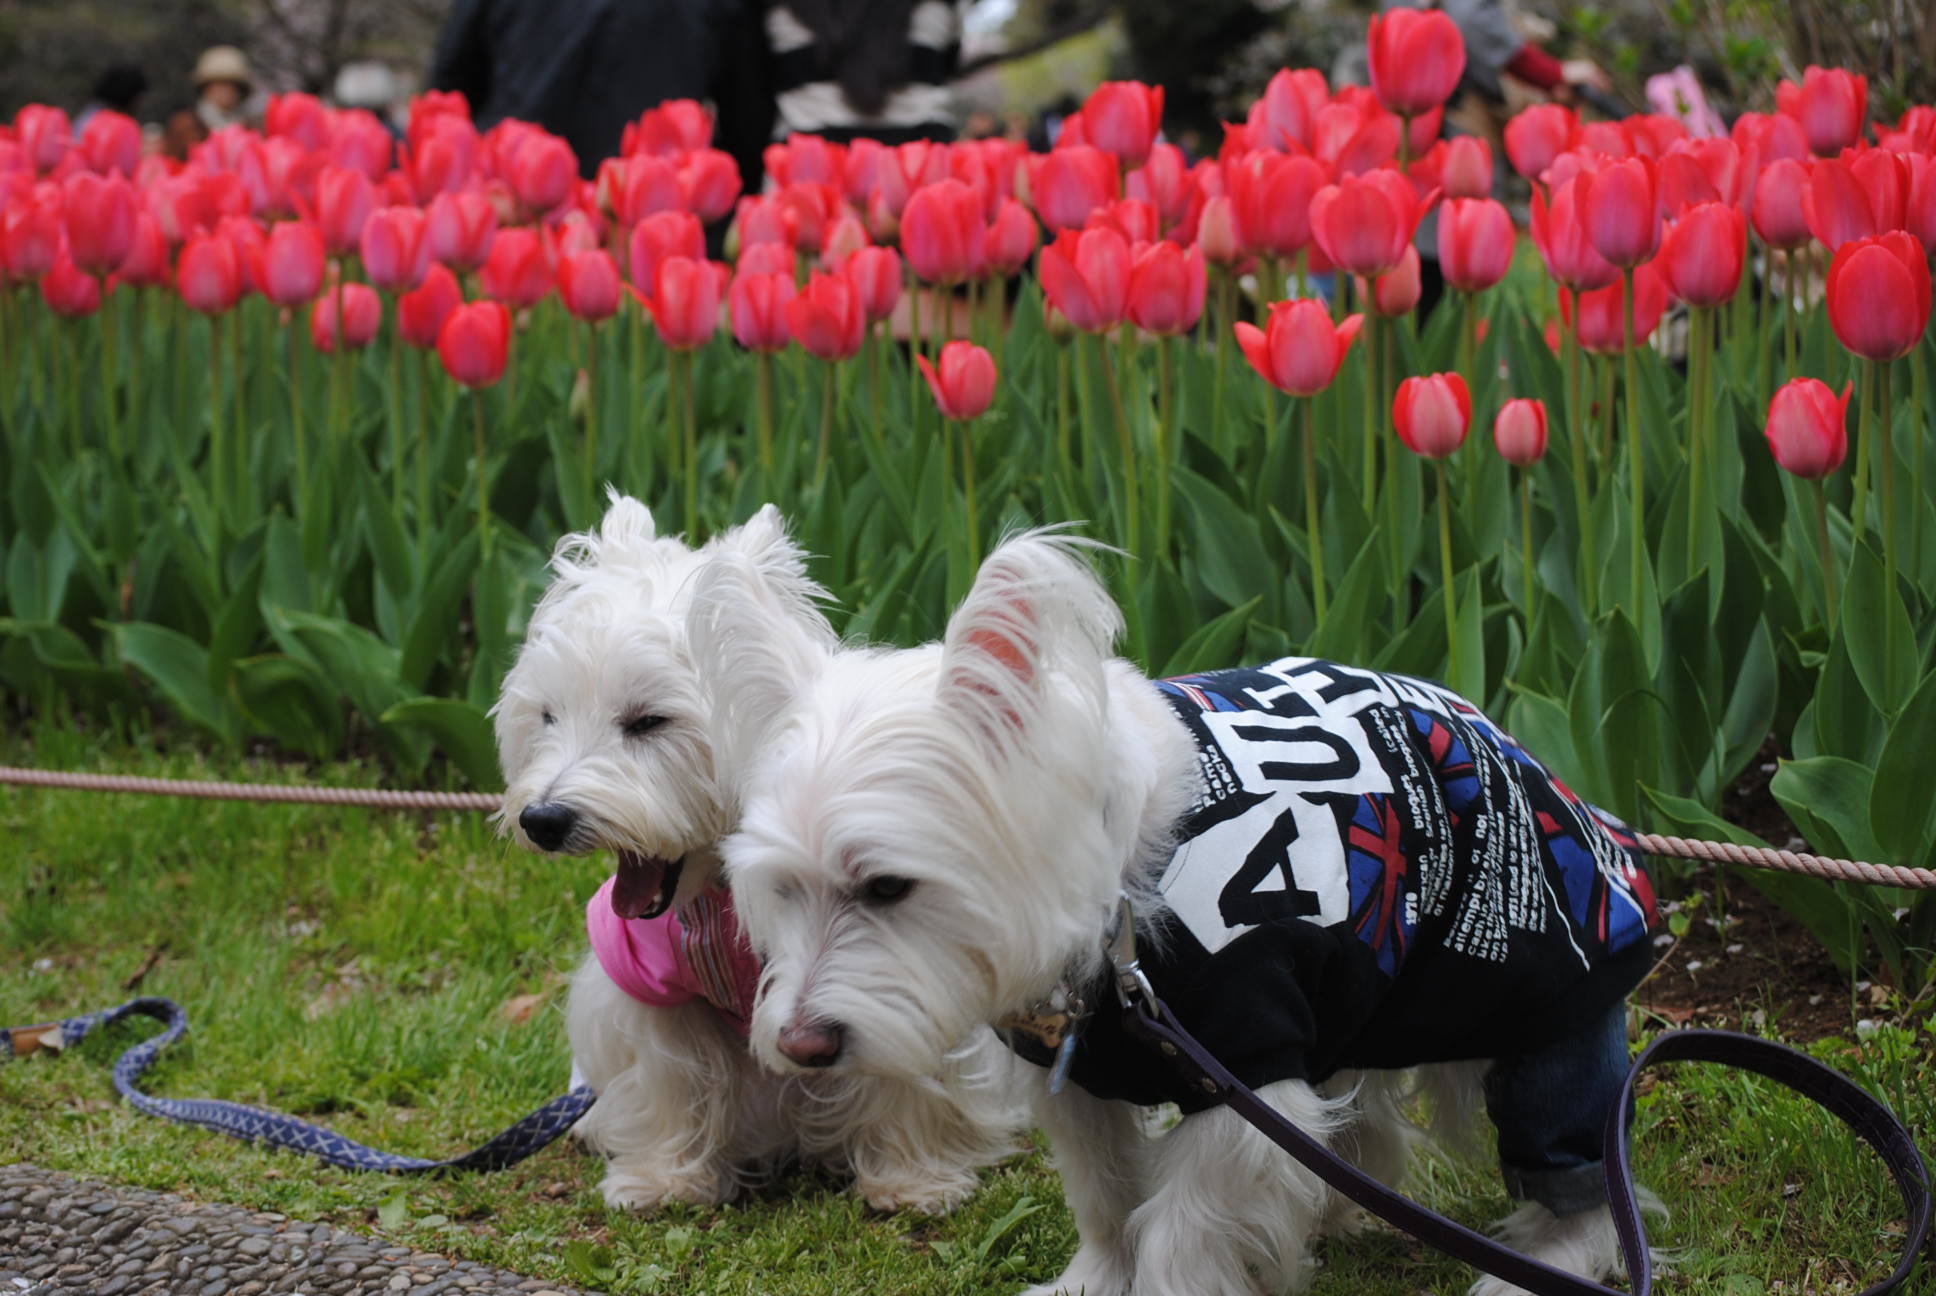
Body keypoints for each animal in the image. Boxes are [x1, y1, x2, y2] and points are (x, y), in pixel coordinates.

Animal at [491, 495, 1022, 1216]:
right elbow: (669, 1077)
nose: (543, 819)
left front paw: (914, 1181)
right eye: (547, 716)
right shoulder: (648, 979)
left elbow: (906, 1069)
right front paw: (663, 1180)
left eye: (648, 721)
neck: (722, 889)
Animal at [708, 530, 1664, 1286]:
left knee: (1586, 1173)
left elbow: (1182, 1228)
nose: (801, 1046)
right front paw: (1092, 1283)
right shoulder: (1084, 1083)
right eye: (780, 890)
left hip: (1539, 1012)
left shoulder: (1244, 1073)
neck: (1122, 905)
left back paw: (1540, 1261)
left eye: (886, 887)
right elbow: (1105, 1200)